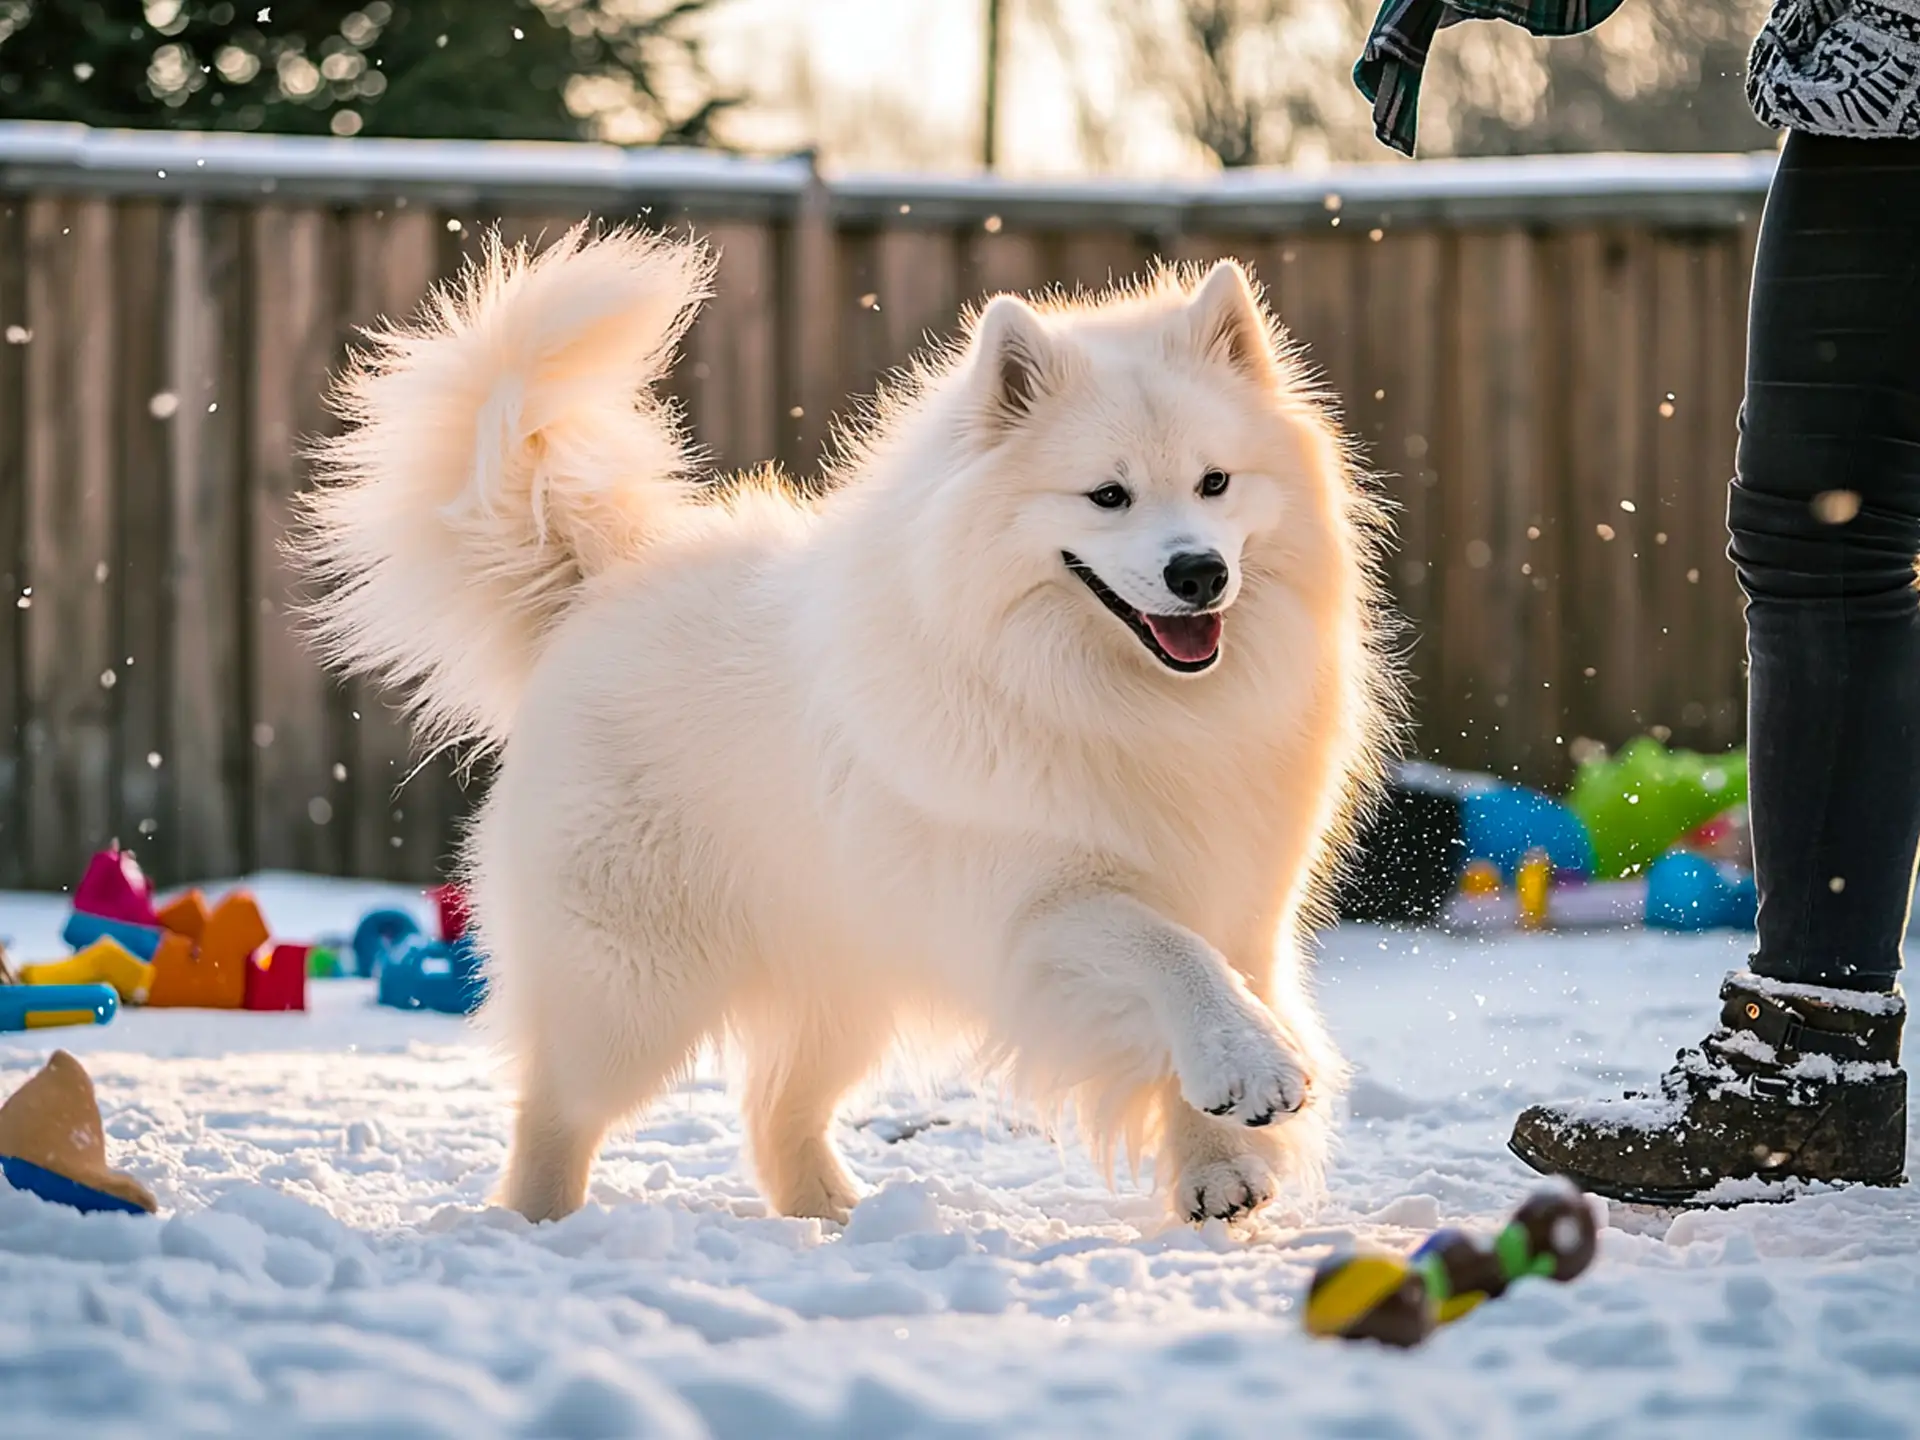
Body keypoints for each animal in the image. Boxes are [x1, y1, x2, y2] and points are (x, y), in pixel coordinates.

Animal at [307, 225, 1405, 1228]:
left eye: (1216, 482)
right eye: (1108, 495)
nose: (1199, 573)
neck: (1121, 696)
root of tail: (594, 589)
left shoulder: (1237, 892)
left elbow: (1215, 977)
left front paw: (1219, 1164)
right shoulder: (1034, 904)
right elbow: (1170, 955)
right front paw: (1251, 1069)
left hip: (843, 974)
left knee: (773, 1107)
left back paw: (832, 1214)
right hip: (632, 985)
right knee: (559, 1111)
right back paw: (539, 1228)